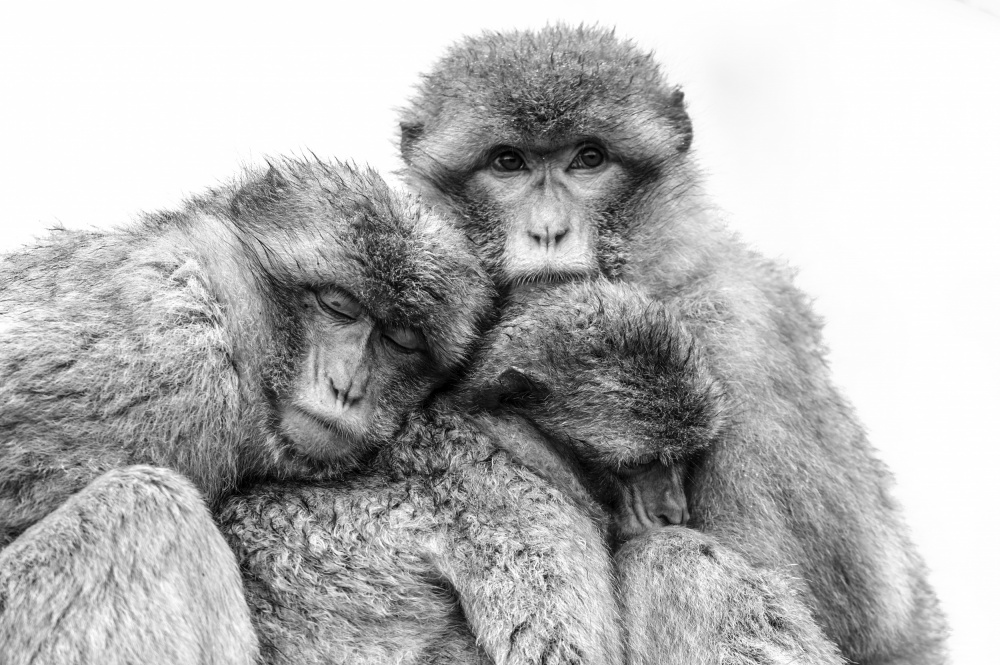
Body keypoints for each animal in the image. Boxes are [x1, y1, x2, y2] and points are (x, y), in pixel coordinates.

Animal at [220, 279, 841, 665]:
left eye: (681, 460)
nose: (672, 509)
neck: (505, 439)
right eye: (637, 466)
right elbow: (556, 651)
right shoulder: (521, 508)